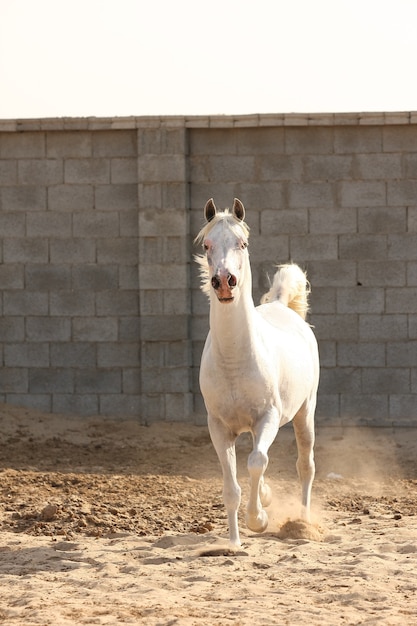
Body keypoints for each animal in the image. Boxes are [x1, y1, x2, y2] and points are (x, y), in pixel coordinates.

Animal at [195, 197, 318, 544]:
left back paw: (303, 521)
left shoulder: (269, 418)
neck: (235, 360)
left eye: (243, 243)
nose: (224, 282)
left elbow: (257, 462)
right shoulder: (219, 427)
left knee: (305, 465)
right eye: (207, 245)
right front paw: (235, 542)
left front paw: (258, 520)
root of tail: (281, 306)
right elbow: (232, 488)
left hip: (305, 414)